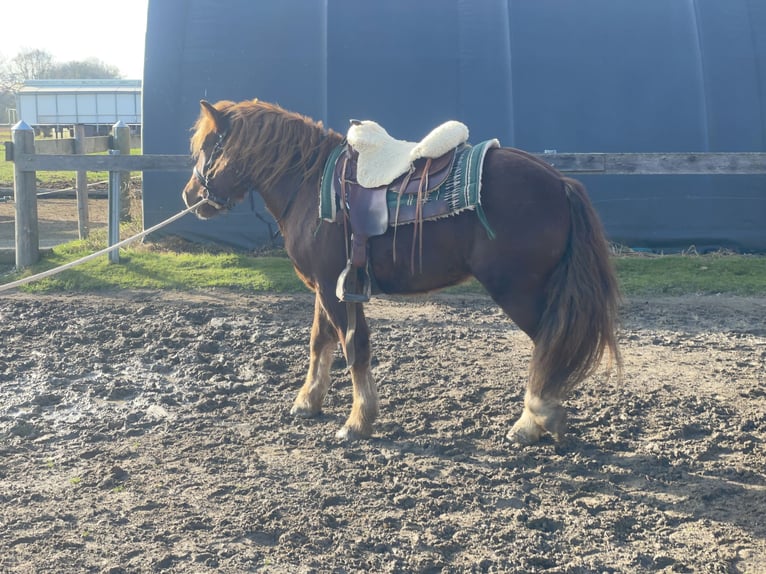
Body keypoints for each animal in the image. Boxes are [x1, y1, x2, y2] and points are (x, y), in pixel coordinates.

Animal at [182, 99, 624, 446]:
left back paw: (533, 421)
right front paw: (308, 402)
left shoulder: (336, 287)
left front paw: (357, 422)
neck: (309, 185)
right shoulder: (325, 287)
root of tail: (560, 181)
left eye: (207, 147)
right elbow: (320, 342)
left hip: (519, 292)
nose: (190, 195)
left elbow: (354, 348)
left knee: (548, 345)